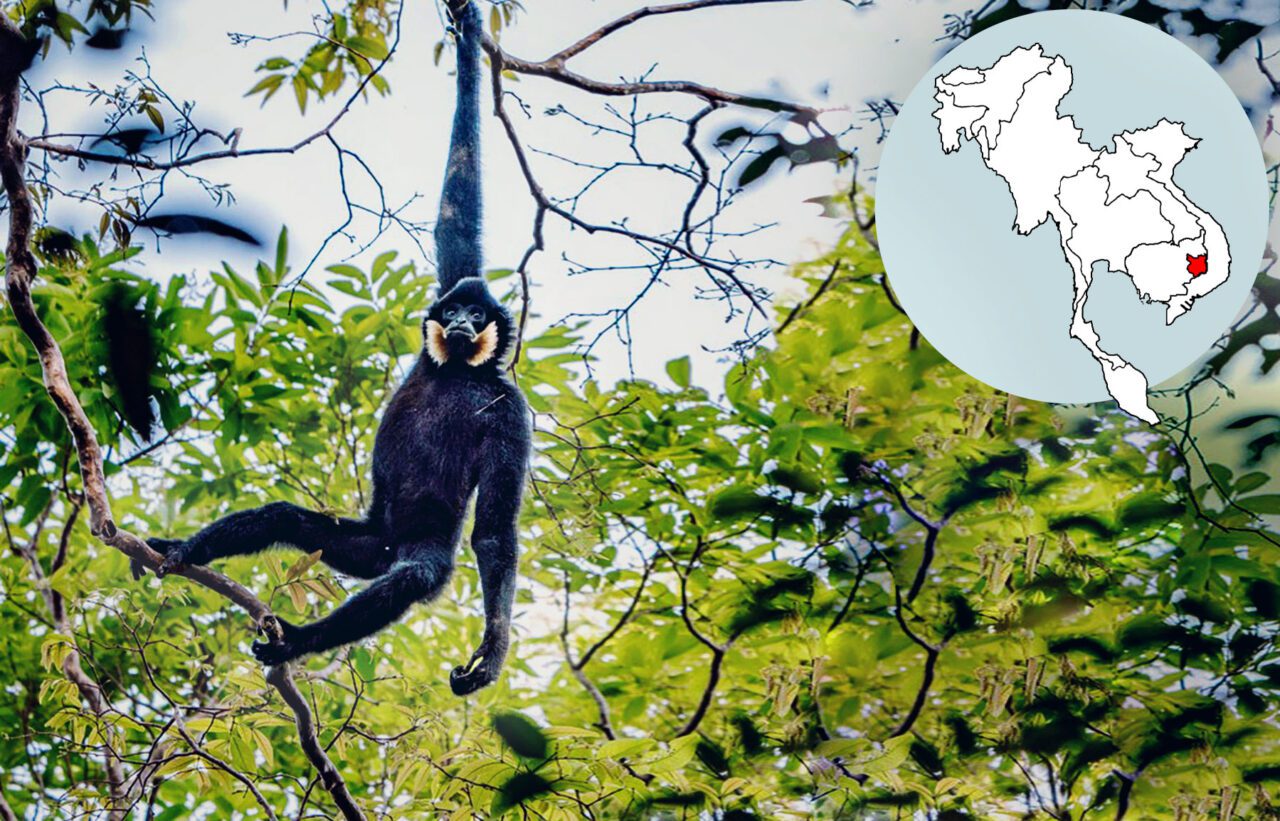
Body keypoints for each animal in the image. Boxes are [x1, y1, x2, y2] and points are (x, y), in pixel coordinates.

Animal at [141, 0, 531, 696]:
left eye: (477, 315)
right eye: (453, 310)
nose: (460, 321)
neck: (456, 371)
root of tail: (387, 535)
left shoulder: (510, 410)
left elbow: (494, 536)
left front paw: (493, 652)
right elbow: (456, 211)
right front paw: (467, 32)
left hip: (406, 545)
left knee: (416, 573)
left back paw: (295, 640)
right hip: (365, 543)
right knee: (288, 520)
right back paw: (185, 553)